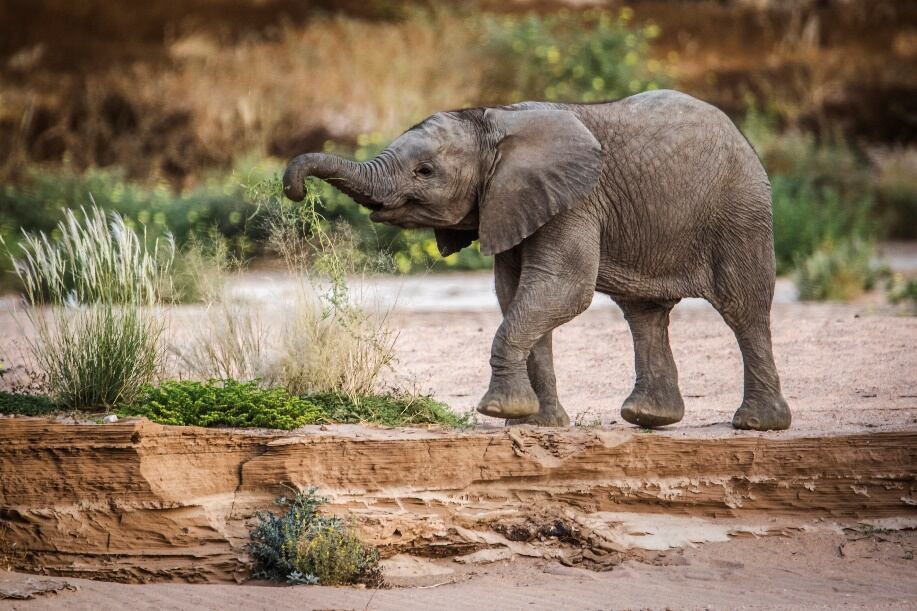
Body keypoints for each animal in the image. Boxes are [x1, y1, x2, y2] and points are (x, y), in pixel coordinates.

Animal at [283, 89, 792, 431]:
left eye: (424, 171)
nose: (295, 190)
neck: (496, 120)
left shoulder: (574, 199)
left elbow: (561, 288)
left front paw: (501, 412)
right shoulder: (512, 201)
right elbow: (515, 294)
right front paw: (535, 424)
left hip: (740, 209)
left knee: (743, 307)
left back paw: (756, 424)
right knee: (643, 313)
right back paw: (648, 417)